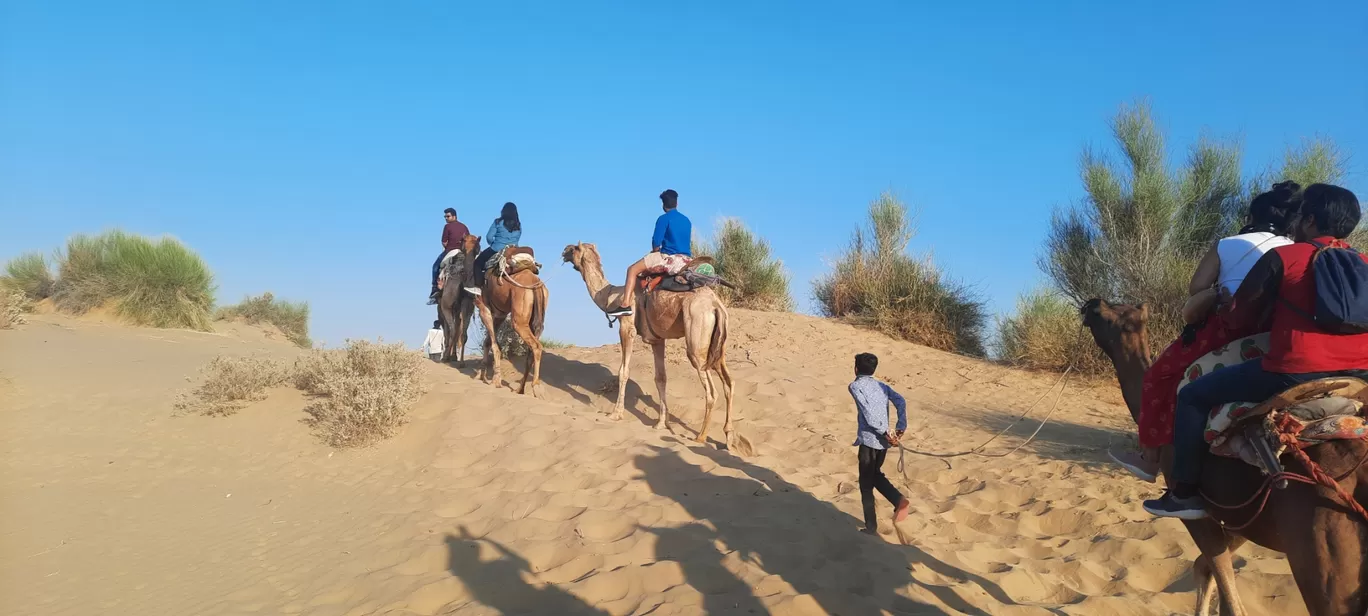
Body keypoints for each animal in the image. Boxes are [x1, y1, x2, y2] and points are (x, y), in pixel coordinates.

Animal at [440, 234, 484, 364]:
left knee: (453, 331)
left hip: (449, 307)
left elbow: (451, 332)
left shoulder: (446, 308)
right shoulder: (457, 308)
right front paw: (452, 356)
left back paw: (448, 357)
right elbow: (457, 330)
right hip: (462, 307)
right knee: (459, 332)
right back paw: (458, 360)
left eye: (477, 249)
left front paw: (450, 357)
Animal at [470, 245, 549, 394]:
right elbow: (487, 342)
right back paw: (520, 389)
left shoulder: (484, 308)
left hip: (519, 320)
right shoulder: (499, 315)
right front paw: (481, 376)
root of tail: (535, 283)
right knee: (531, 349)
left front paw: (495, 381)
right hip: (537, 319)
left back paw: (535, 386)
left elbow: (494, 344)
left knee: (536, 346)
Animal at [555, 243, 749, 454]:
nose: (564, 251)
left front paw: (615, 414)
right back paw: (729, 437)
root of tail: (716, 306)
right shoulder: (657, 340)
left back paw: (700, 437)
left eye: (574, 248)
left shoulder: (627, 328)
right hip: (717, 345)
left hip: (696, 340)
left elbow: (624, 371)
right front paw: (661, 424)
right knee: (729, 383)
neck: (611, 296)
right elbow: (661, 378)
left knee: (711, 390)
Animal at [1077, 295, 1368, 613]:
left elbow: (1228, 597)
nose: (1091, 303)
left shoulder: (1198, 515)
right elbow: (1203, 567)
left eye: (1106, 314)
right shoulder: (1242, 518)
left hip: (1324, 551)